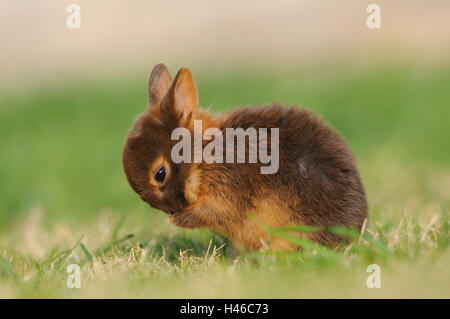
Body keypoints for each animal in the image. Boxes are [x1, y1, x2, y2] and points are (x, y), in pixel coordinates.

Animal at [121, 63, 368, 252]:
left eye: (160, 174)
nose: (172, 210)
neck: (203, 156)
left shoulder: (227, 193)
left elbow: (210, 213)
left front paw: (177, 220)